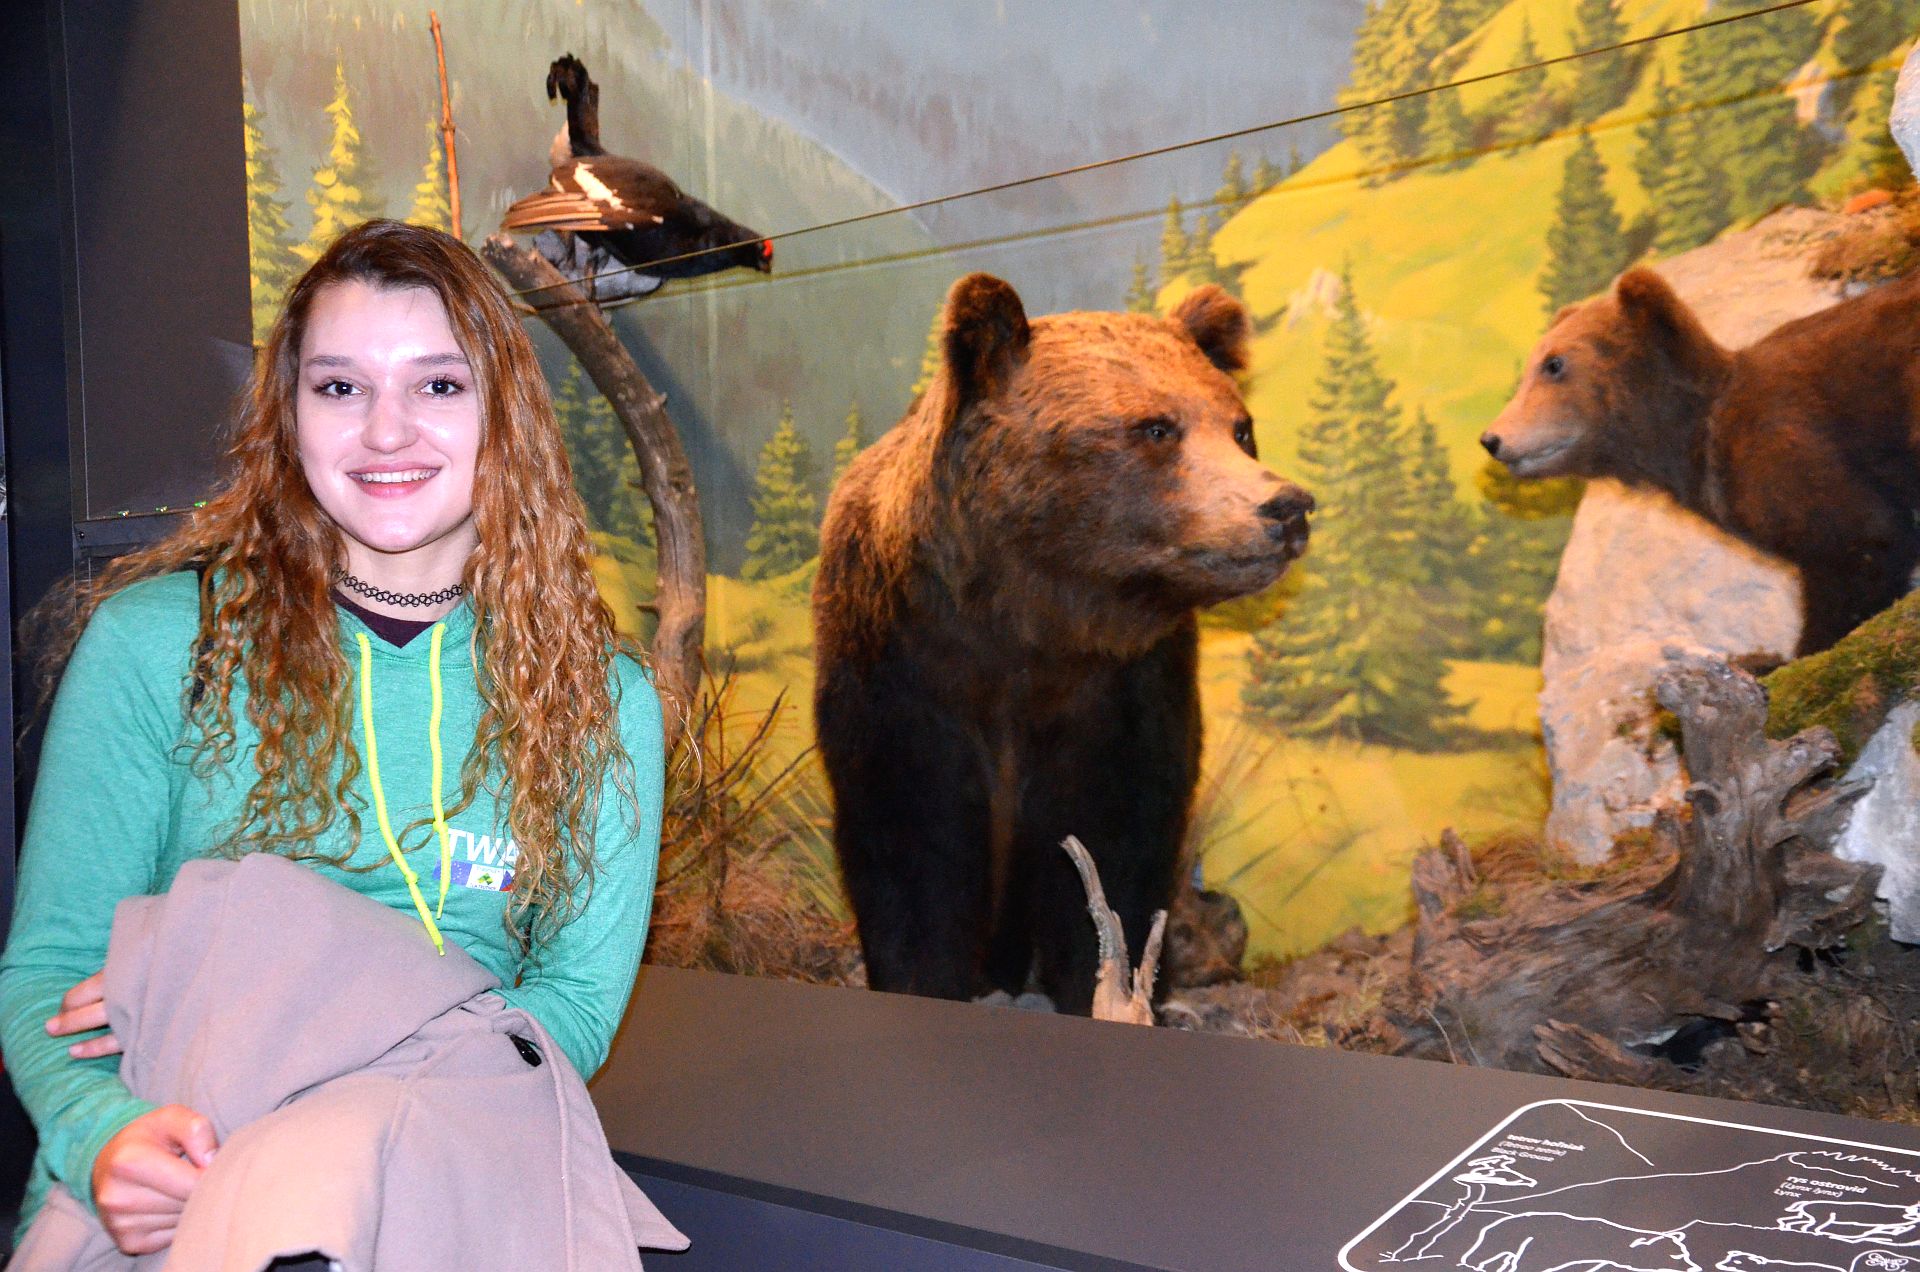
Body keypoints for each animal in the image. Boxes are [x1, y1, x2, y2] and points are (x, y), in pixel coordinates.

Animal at [812, 273, 1313, 1015]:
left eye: (1240, 427)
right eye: (1156, 427)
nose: (1286, 506)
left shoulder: (1126, 686)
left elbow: (1115, 844)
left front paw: (1109, 987)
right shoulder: (902, 660)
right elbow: (912, 843)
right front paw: (922, 980)